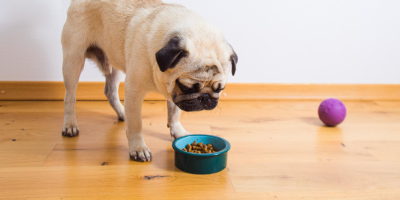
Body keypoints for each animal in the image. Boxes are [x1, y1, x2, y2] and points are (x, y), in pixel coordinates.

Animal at [60, 0, 238, 162]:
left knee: (110, 92)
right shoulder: (135, 91)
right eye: (187, 87)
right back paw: (70, 124)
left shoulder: (172, 92)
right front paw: (138, 148)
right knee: (70, 96)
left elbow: (174, 113)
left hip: (113, 64)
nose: (204, 98)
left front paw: (178, 132)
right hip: (73, 60)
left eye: (219, 89)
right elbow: (136, 123)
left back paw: (122, 113)